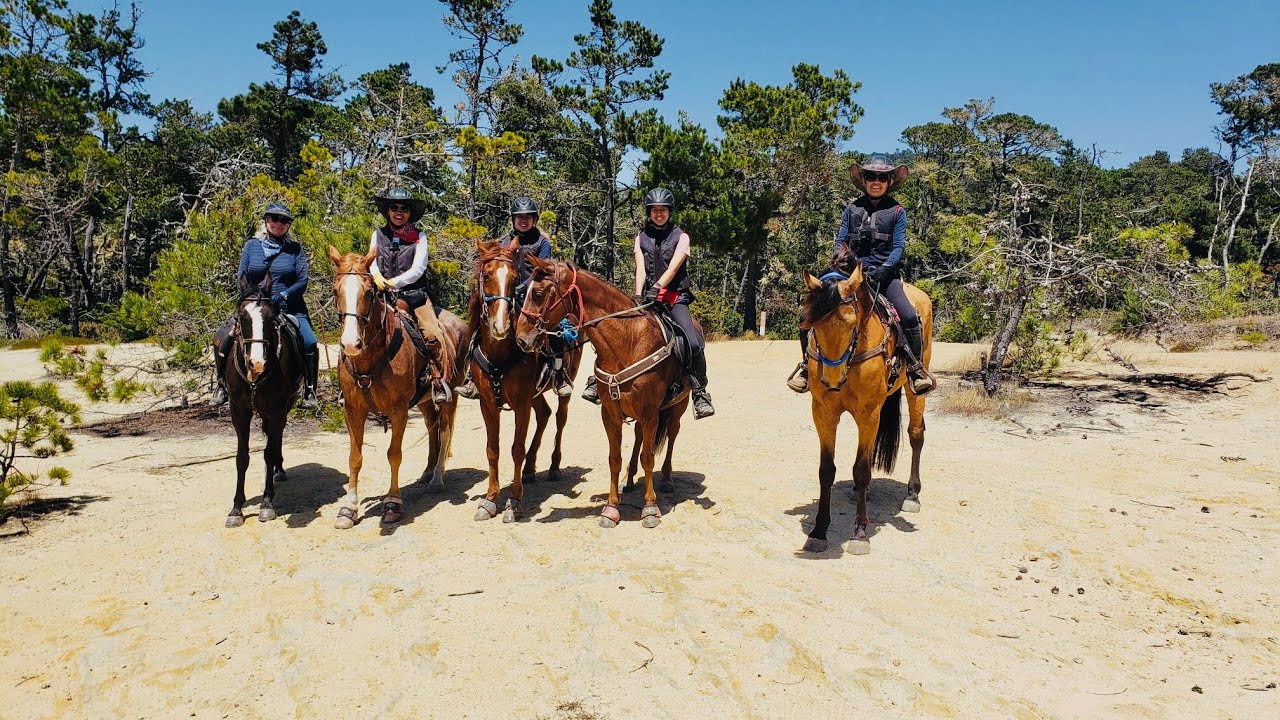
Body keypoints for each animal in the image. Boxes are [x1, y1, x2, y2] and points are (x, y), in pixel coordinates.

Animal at [224, 272, 304, 528]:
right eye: (242, 317)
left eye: (271, 317)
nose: (257, 363)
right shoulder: (239, 411)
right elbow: (242, 457)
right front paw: (236, 508)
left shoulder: (277, 408)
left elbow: (268, 452)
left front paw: (267, 503)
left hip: (285, 406)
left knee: (275, 439)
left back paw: (278, 469)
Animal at [327, 244, 468, 529]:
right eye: (336, 290)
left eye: (369, 292)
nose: (350, 344)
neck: (370, 360)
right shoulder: (352, 410)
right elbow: (354, 457)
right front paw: (348, 508)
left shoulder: (399, 410)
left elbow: (394, 454)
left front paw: (392, 504)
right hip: (425, 401)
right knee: (432, 428)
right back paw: (427, 472)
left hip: (450, 396)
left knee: (445, 430)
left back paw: (437, 477)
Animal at [468, 240, 583, 523]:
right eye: (486, 276)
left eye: (513, 278)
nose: (500, 326)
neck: (499, 353)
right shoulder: (488, 404)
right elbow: (493, 449)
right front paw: (490, 500)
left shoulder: (521, 404)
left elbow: (516, 448)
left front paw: (514, 502)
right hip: (534, 394)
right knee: (544, 413)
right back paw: (531, 467)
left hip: (563, 388)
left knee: (559, 418)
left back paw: (553, 466)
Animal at [515, 255, 690, 529]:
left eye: (538, 293)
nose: (521, 339)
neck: (627, 341)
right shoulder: (610, 414)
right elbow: (614, 458)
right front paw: (611, 508)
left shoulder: (650, 413)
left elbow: (649, 457)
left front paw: (650, 508)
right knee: (638, 438)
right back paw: (630, 480)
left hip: (678, 406)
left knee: (671, 435)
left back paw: (668, 479)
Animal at [798, 250, 932, 555]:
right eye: (809, 325)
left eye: (851, 323)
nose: (832, 379)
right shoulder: (823, 413)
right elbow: (827, 470)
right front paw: (819, 532)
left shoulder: (868, 413)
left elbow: (861, 470)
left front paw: (859, 534)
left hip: (915, 391)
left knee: (916, 435)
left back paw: (912, 496)